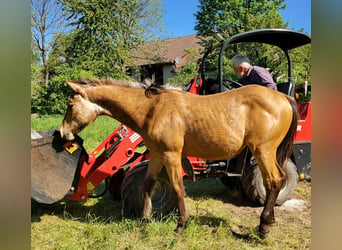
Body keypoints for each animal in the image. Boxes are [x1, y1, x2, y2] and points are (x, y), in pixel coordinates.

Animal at [60, 78, 298, 236]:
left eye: (70, 105)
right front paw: (144, 218)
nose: (62, 134)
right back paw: (270, 220)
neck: (152, 109)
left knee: (272, 181)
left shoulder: (171, 155)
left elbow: (177, 187)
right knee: (281, 178)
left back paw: (263, 225)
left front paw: (181, 223)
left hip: (262, 150)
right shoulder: (157, 155)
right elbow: (148, 184)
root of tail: (284, 97)